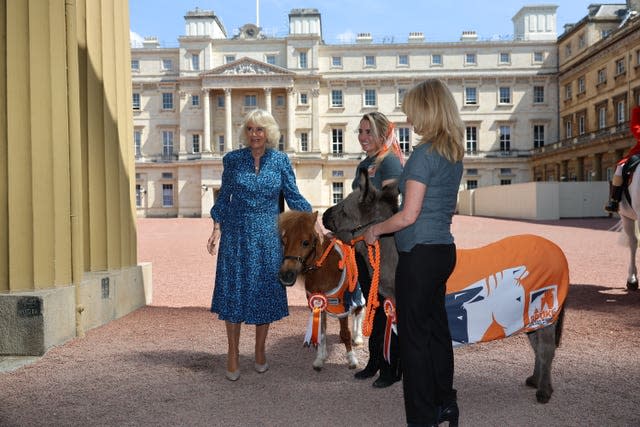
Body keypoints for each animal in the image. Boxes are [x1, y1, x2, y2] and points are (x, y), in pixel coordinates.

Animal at [278, 211, 362, 372]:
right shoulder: (317, 303)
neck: (324, 269)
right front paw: (320, 359)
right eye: (283, 241)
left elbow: (345, 332)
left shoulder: (341, 304)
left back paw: (358, 337)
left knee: (359, 311)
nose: (286, 276)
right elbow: (321, 333)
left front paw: (352, 360)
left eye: (305, 242)